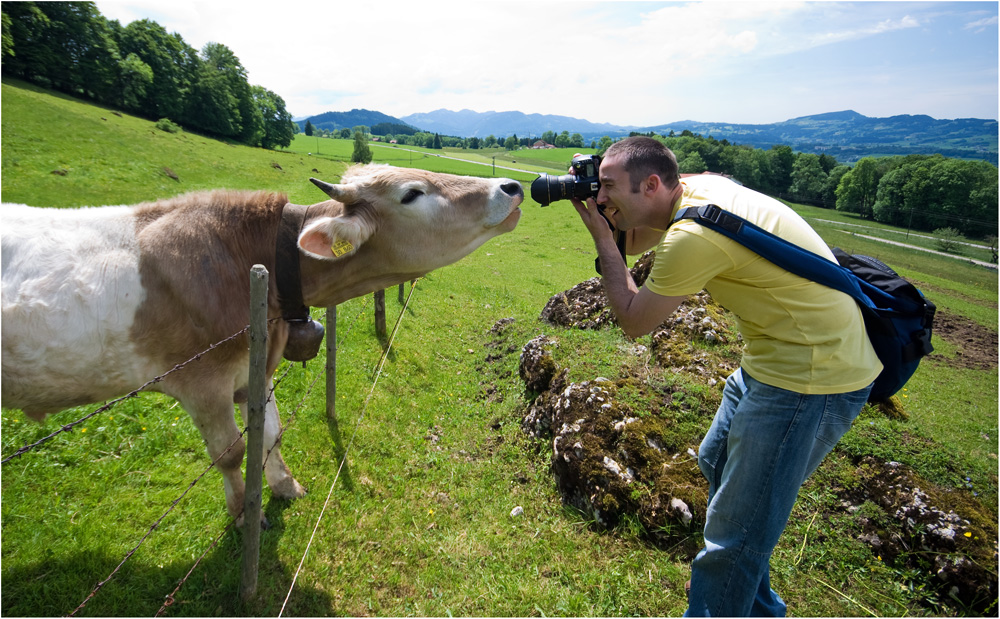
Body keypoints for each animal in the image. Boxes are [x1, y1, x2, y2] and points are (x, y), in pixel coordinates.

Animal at [1, 165, 524, 524]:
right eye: (411, 193)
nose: (511, 187)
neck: (254, 262)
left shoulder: (256, 366)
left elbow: (270, 433)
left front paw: (285, 485)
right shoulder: (201, 382)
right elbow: (230, 454)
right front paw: (241, 513)